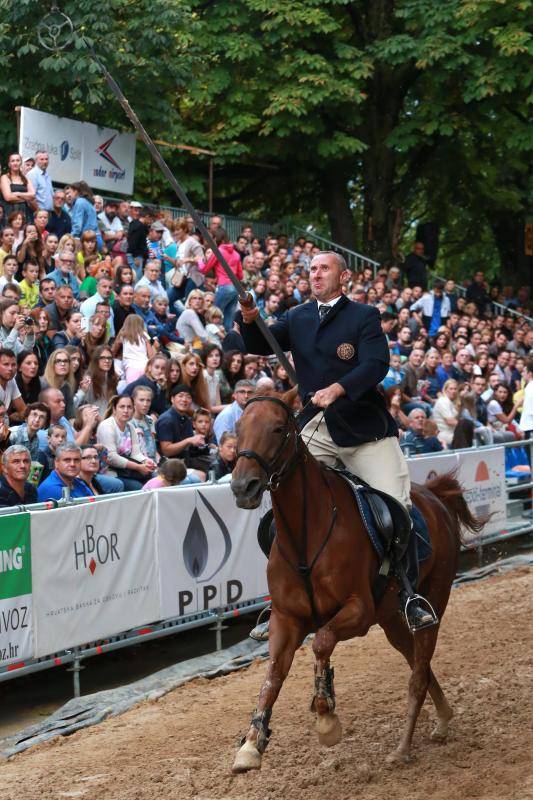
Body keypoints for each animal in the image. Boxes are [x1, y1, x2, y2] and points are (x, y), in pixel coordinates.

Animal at [231, 390, 484, 772]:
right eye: (237, 429)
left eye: (277, 428)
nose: (242, 486)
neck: (306, 535)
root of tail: (435, 496)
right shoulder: (286, 619)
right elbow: (273, 674)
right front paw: (251, 743)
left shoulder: (358, 611)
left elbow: (321, 643)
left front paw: (325, 715)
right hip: (391, 619)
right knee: (419, 664)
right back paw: (442, 719)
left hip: (432, 604)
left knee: (418, 673)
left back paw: (403, 748)